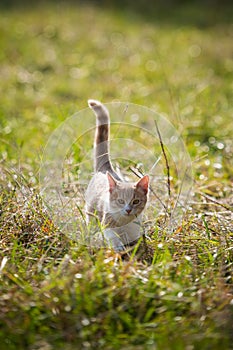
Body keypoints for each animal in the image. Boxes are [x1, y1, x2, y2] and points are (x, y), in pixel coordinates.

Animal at [85, 100, 149, 250]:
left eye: (136, 201)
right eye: (120, 201)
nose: (128, 210)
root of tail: (105, 169)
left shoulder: (134, 227)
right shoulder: (107, 223)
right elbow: (112, 236)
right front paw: (118, 247)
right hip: (91, 212)